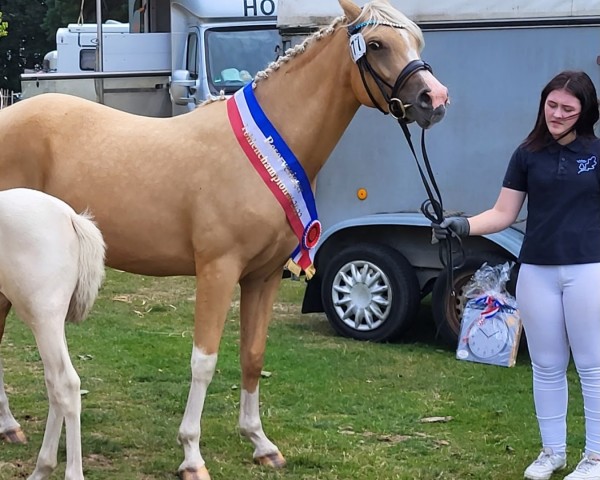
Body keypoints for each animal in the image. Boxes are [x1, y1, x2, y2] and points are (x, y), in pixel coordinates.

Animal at [0, 188, 105, 480]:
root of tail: (70, 217)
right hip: (46, 320)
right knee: (54, 383)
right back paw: (42, 468)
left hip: (43, 317)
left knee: (65, 384)